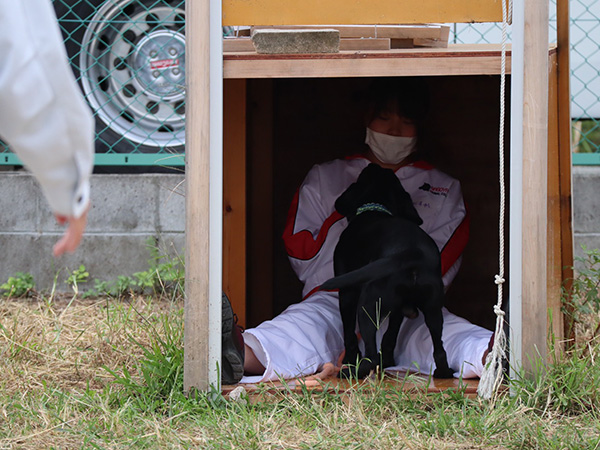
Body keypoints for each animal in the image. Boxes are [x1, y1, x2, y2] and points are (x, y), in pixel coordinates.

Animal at [324, 163, 454, 378]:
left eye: (363, 175)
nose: (373, 164)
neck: (376, 207)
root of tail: (411, 253)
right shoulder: (400, 307)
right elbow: (390, 335)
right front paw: (389, 360)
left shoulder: (347, 293)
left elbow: (349, 333)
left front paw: (350, 360)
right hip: (433, 310)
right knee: (439, 349)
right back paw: (443, 372)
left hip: (367, 305)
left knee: (370, 353)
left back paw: (353, 372)